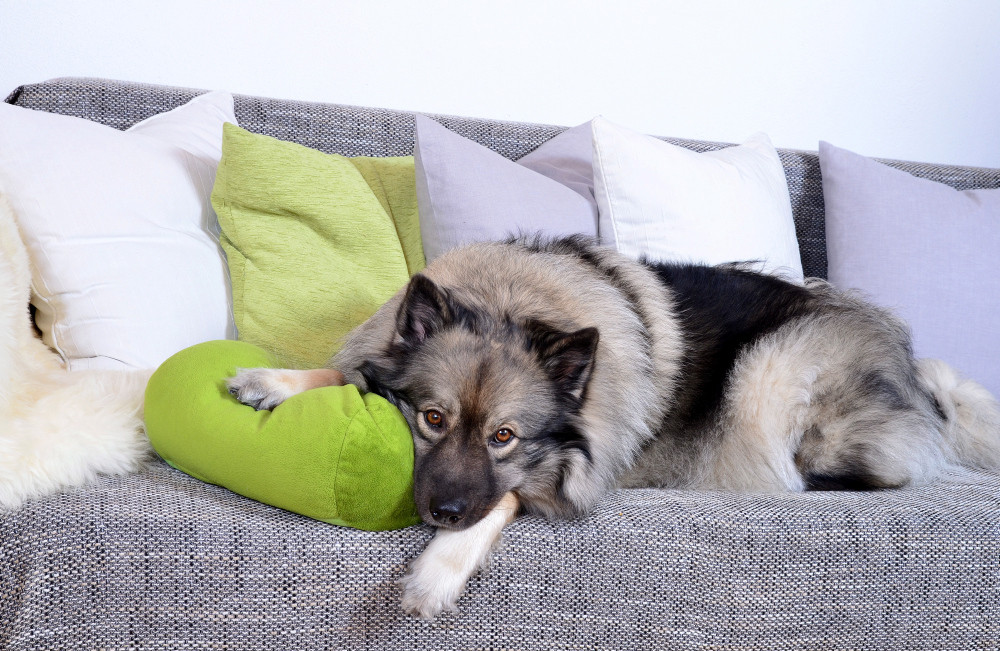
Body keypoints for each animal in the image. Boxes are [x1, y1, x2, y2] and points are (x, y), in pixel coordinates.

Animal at [227, 233, 1000, 616]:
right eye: (432, 418)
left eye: (504, 436)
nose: (440, 511)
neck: (511, 301)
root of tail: (917, 369)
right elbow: (344, 371)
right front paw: (273, 380)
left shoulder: (564, 467)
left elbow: (506, 498)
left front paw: (437, 572)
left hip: (771, 371)